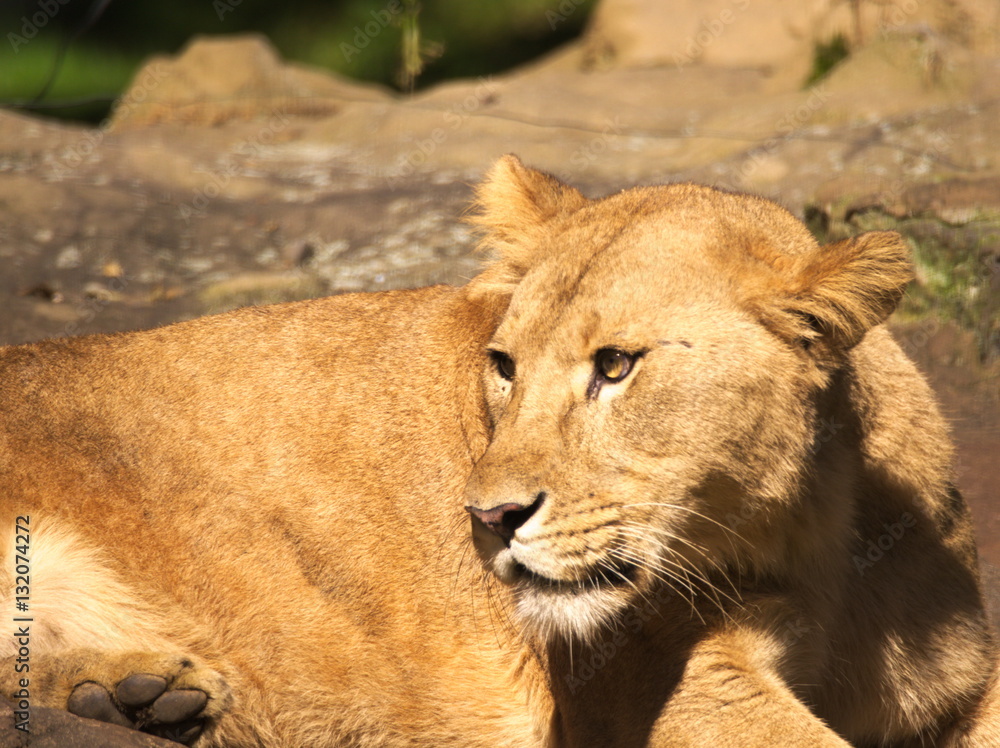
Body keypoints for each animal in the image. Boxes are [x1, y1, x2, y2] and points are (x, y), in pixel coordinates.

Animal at [1, 155, 997, 747]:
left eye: (616, 366)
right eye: (505, 366)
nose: (488, 518)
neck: (819, 531)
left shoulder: (958, 688)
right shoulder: (662, 683)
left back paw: (139, 696)